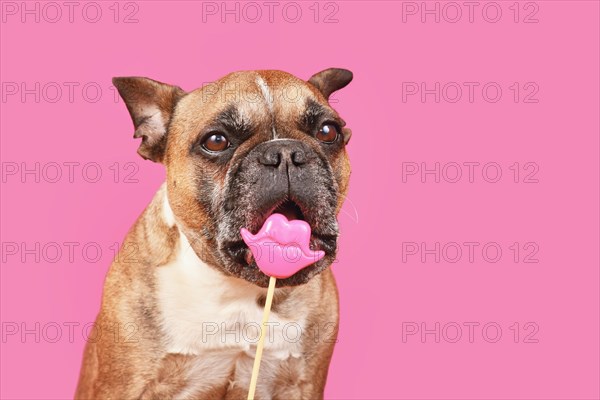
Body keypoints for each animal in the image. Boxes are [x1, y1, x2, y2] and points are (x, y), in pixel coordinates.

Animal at [77, 69, 354, 400]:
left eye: (328, 131)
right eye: (216, 140)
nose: (285, 152)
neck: (235, 288)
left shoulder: (302, 385)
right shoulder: (126, 386)